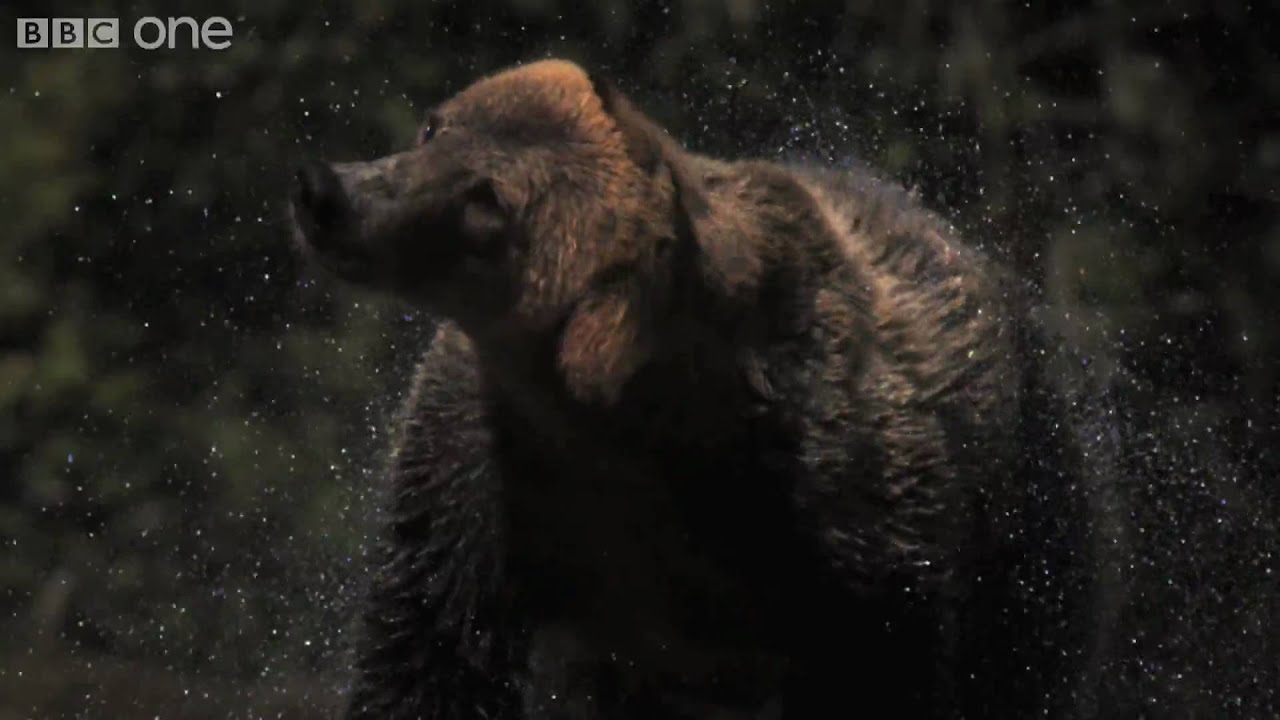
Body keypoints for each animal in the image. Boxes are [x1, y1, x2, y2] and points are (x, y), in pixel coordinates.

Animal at [290, 59, 1116, 719]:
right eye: (435, 127)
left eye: (488, 198)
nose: (326, 193)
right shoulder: (480, 473)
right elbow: (429, 648)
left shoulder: (850, 525)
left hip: (1031, 517)